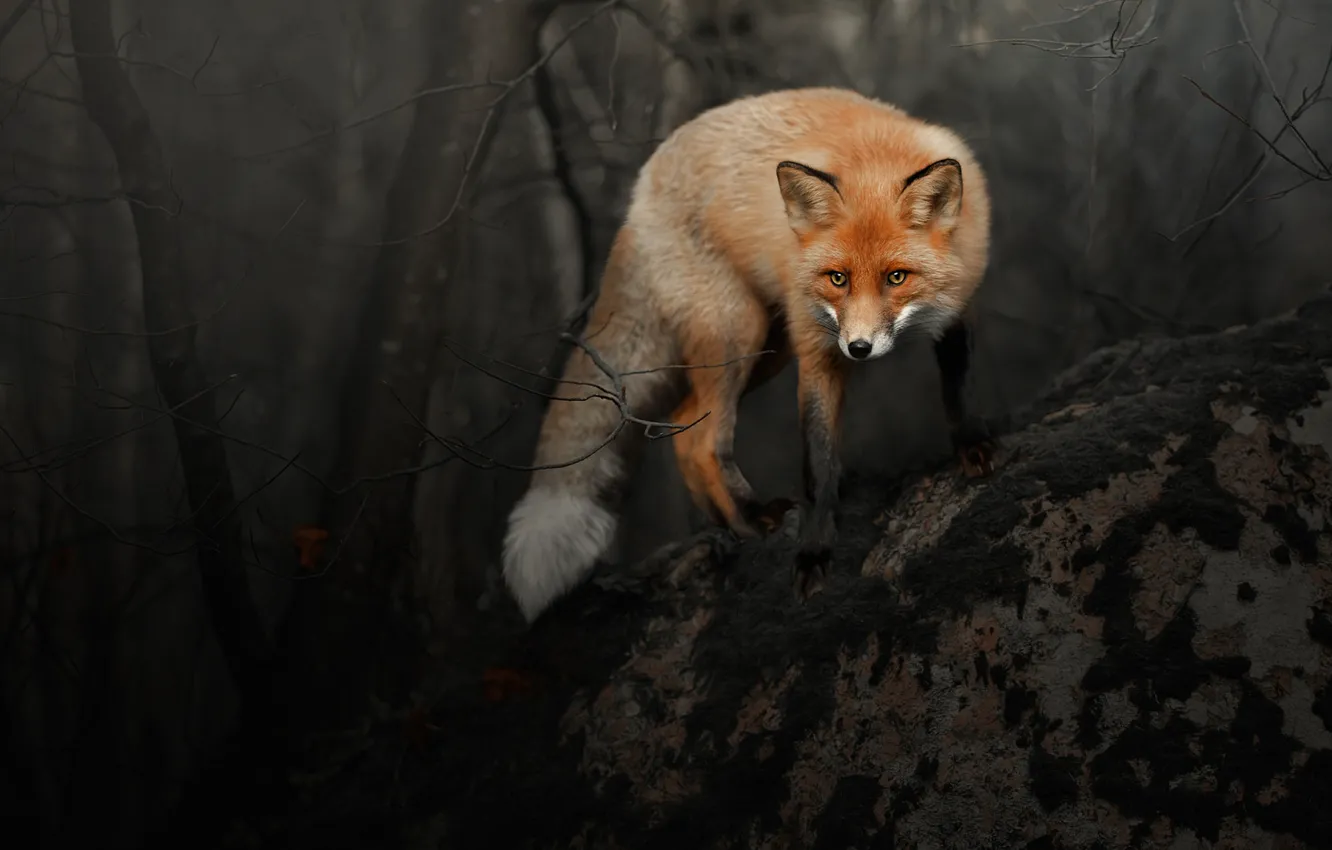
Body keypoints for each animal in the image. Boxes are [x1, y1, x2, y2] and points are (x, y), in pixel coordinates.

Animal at [501, 86, 996, 623]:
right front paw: (814, 552)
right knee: (703, 440)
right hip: (736, 334)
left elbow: (958, 390)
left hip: (765, 348)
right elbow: (819, 463)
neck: (875, 156)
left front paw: (972, 447)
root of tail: (642, 190)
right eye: (838, 278)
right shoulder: (818, 349)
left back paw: (727, 528)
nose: (859, 348)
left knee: (683, 424)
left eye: (897, 277)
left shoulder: (958, 307)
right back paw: (752, 520)